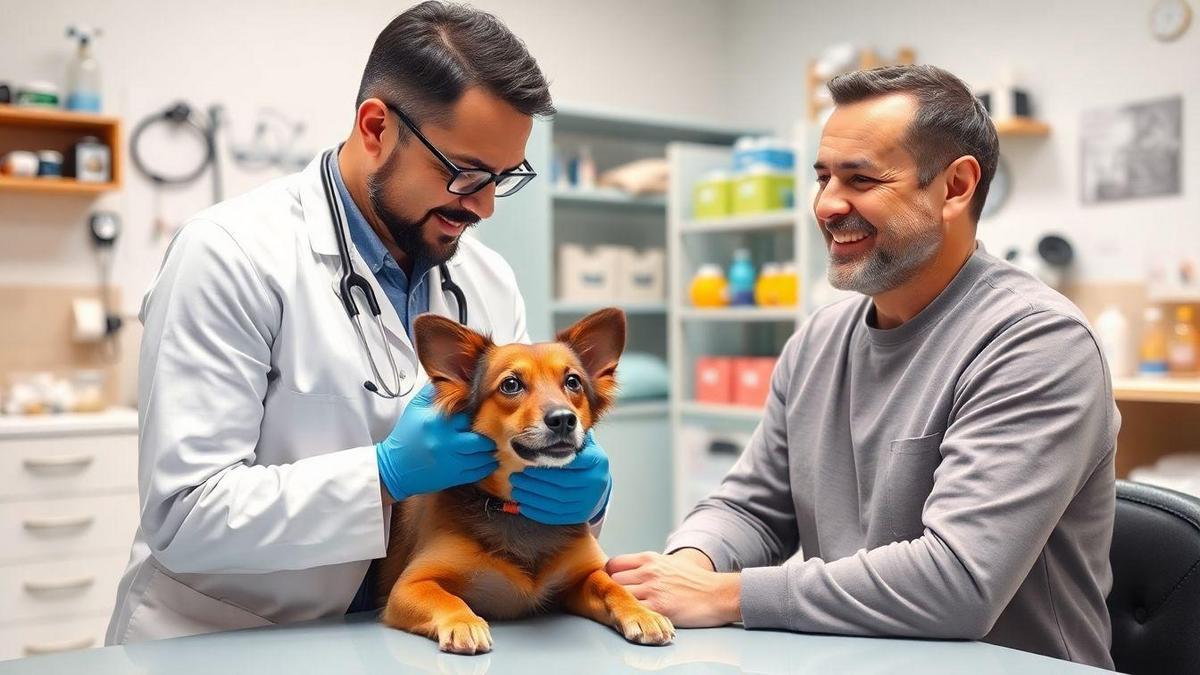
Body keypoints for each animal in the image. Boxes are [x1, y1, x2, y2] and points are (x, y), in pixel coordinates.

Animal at [374, 306, 676, 653]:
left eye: (573, 381)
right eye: (511, 384)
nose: (564, 419)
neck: (516, 509)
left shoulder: (579, 580)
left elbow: (612, 586)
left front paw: (642, 612)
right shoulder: (410, 586)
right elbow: (447, 599)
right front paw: (463, 622)